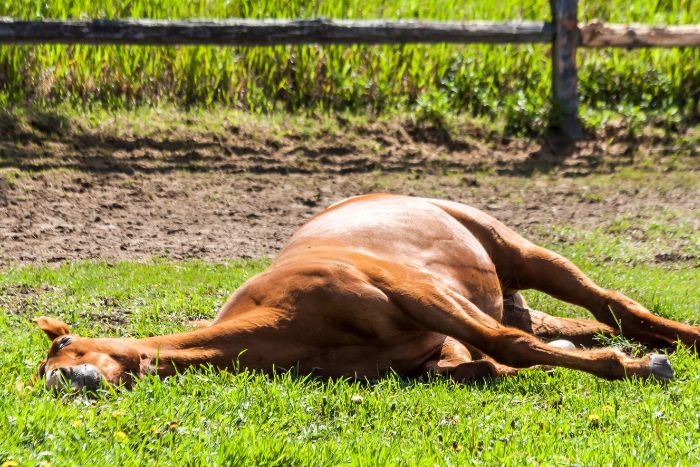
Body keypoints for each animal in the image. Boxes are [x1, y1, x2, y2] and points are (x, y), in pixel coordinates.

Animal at [35, 194, 696, 392]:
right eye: (44, 370)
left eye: (65, 347)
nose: (64, 384)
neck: (290, 323)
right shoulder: (431, 354)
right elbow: (486, 362)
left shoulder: (420, 295)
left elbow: (505, 345)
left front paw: (637, 368)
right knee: (590, 323)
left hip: (522, 254)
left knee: (615, 307)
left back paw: (672, 346)